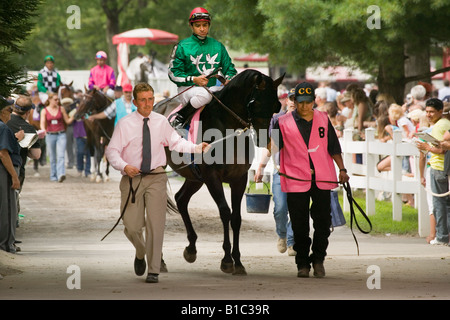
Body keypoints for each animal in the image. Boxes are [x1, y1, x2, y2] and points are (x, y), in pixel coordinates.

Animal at [156, 70, 284, 276]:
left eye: (276, 105)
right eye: (253, 103)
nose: (265, 138)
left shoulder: (238, 179)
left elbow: (236, 218)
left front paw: (238, 261)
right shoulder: (212, 177)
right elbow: (225, 212)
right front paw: (227, 260)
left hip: (194, 177)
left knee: (181, 199)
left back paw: (191, 248)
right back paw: (159, 259)